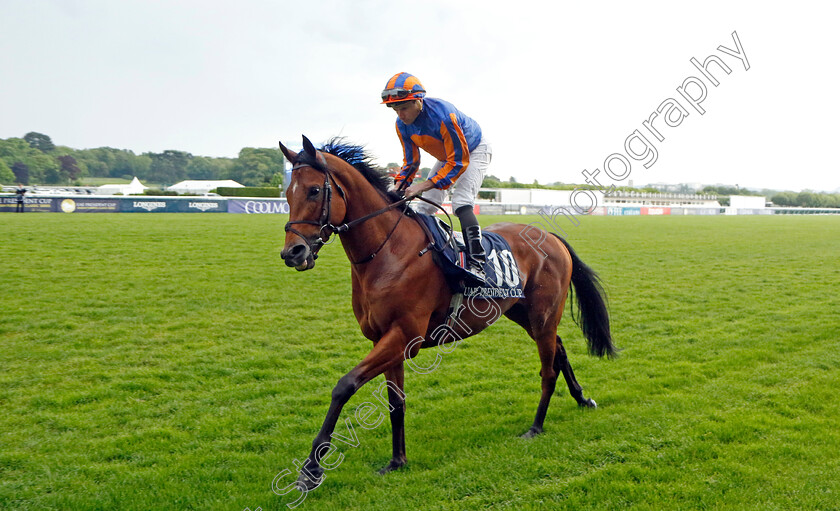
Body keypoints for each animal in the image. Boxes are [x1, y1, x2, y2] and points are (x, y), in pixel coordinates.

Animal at [278, 137, 612, 492]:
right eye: (287, 193)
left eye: (314, 190)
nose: (292, 252)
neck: (387, 253)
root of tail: (552, 237)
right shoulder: (385, 340)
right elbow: (396, 402)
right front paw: (397, 461)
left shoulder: (404, 337)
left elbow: (344, 386)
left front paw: (310, 470)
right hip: (523, 314)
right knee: (559, 349)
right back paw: (582, 399)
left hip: (543, 315)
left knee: (548, 370)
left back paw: (536, 426)